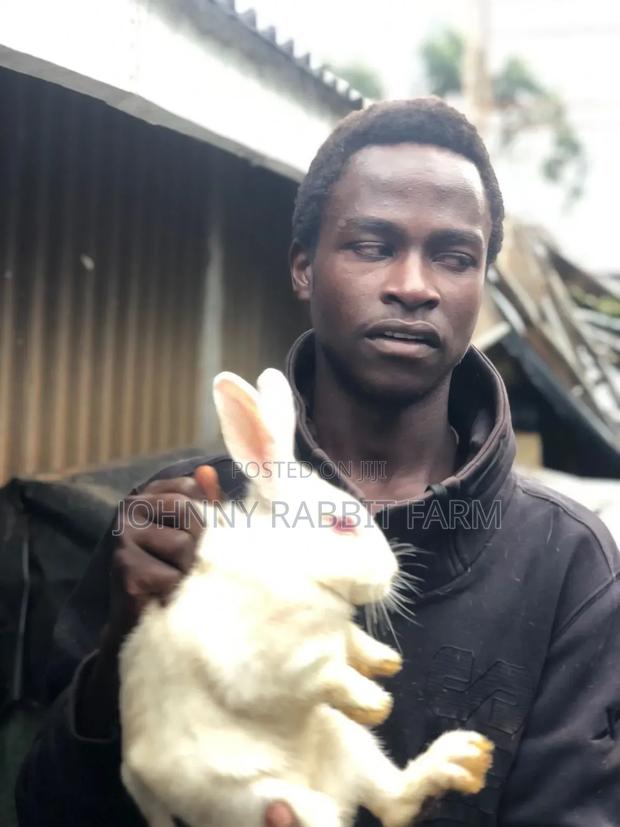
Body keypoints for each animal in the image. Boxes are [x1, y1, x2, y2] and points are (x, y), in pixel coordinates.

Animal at [118, 367, 493, 827]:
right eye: (343, 524)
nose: (390, 573)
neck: (291, 562)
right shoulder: (275, 663)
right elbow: (328, 675)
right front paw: (376, 702)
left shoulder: (332, 635)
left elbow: (350, 642)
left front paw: (386, 661)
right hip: (267, 799)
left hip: (351, 743)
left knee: (396, 802)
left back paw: (464, 758)